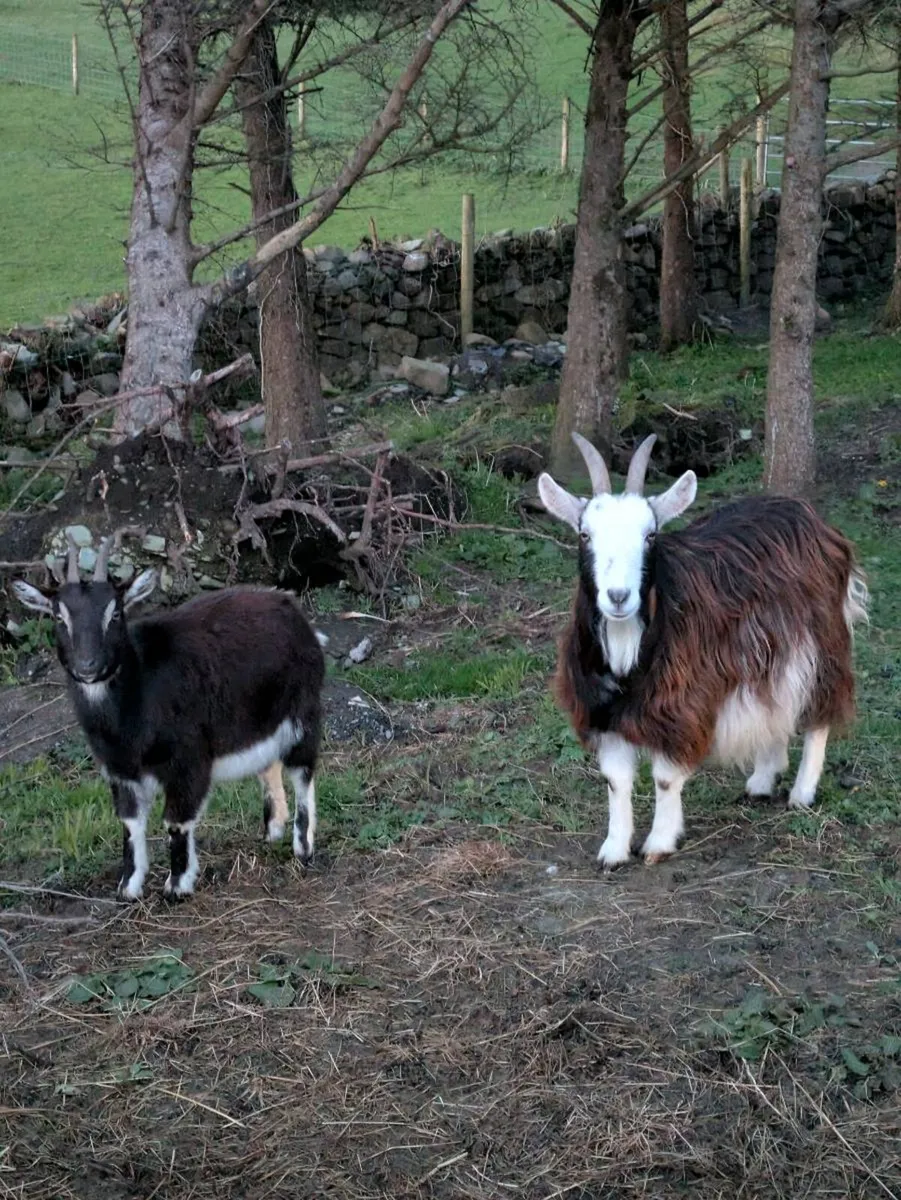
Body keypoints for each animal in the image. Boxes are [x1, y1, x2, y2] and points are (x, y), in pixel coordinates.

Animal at [12, 535, 326, 900]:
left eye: (115, 613)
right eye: (58, 616)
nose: (88, 666)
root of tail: (290, 606)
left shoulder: (187, 760)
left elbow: (176, 821)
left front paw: (177, 885)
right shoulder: (119, 770)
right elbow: (129, 823)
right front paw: (128, 886)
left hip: (303, 711)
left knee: (303, 771)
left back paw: (303, 846)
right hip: (256, 721)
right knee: (269, 763)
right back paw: (272, 829)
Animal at [538, 433, 868, 868]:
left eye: (650, 535)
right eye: (584, 535)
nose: (619, 596)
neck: (629, 649)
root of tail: (808, 515)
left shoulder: (680, 703)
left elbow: (664, 778)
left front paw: (659, 842)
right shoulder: (602, 709)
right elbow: (616, 781)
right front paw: (614, 849)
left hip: (822, 638)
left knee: (818, 709)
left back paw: (802, 793)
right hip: (768, 651)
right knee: (775, 704)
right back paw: (763, 779)